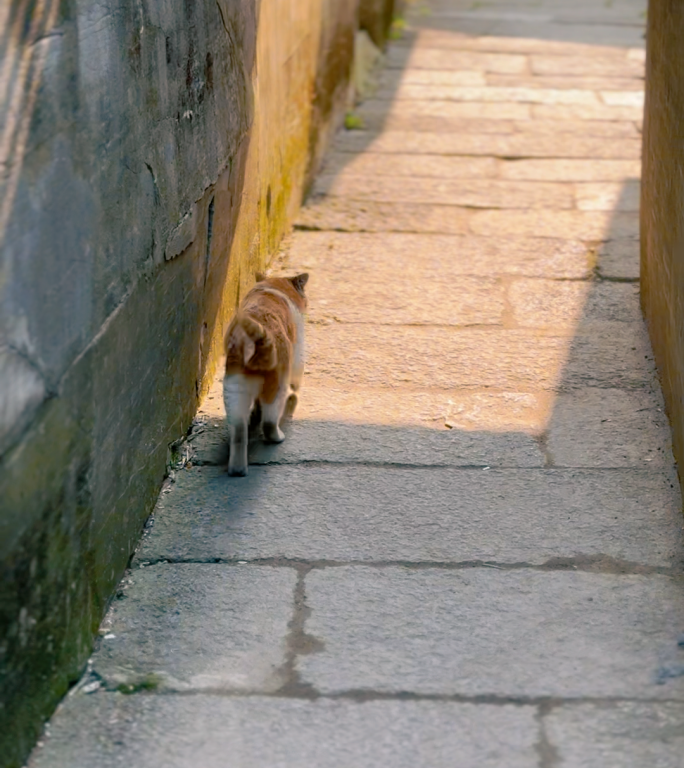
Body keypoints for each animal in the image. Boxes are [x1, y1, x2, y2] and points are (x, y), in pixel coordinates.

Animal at [222, 270, 308, 474]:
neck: (273, 287)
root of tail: (258, 344)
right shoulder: (299, 348)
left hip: (234, 390)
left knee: (239, 433)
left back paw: (237, 470)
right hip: (277, 387)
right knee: (269, 422)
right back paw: (277, 437)